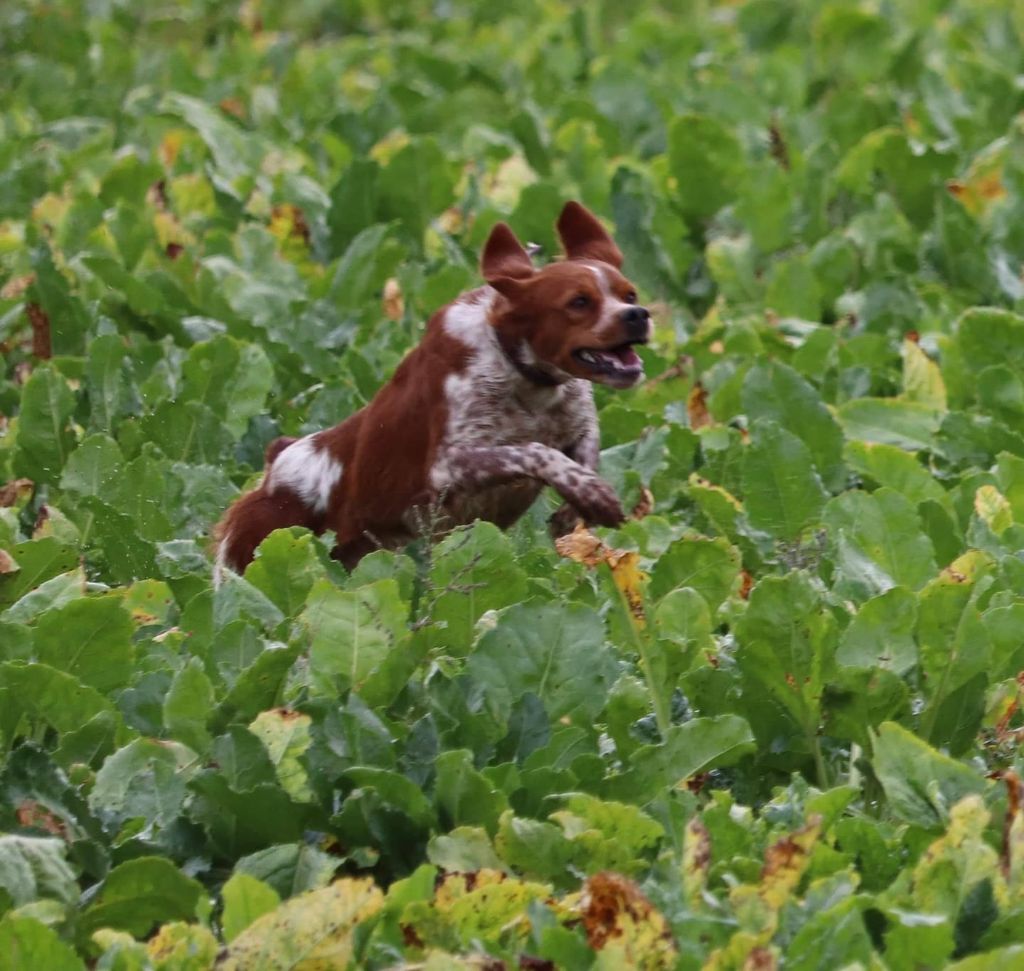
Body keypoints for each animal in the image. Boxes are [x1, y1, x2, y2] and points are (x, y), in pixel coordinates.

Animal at [211, 202, 651, 585]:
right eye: (579, 302)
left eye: (629, 294)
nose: (637, 315)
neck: (525, 377)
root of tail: (276, 463)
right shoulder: (445, 467)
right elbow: (533, 451)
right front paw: (592, 494)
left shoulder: (577, 424)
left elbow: (584, 453)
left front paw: (578, 506)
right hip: (253, 554)